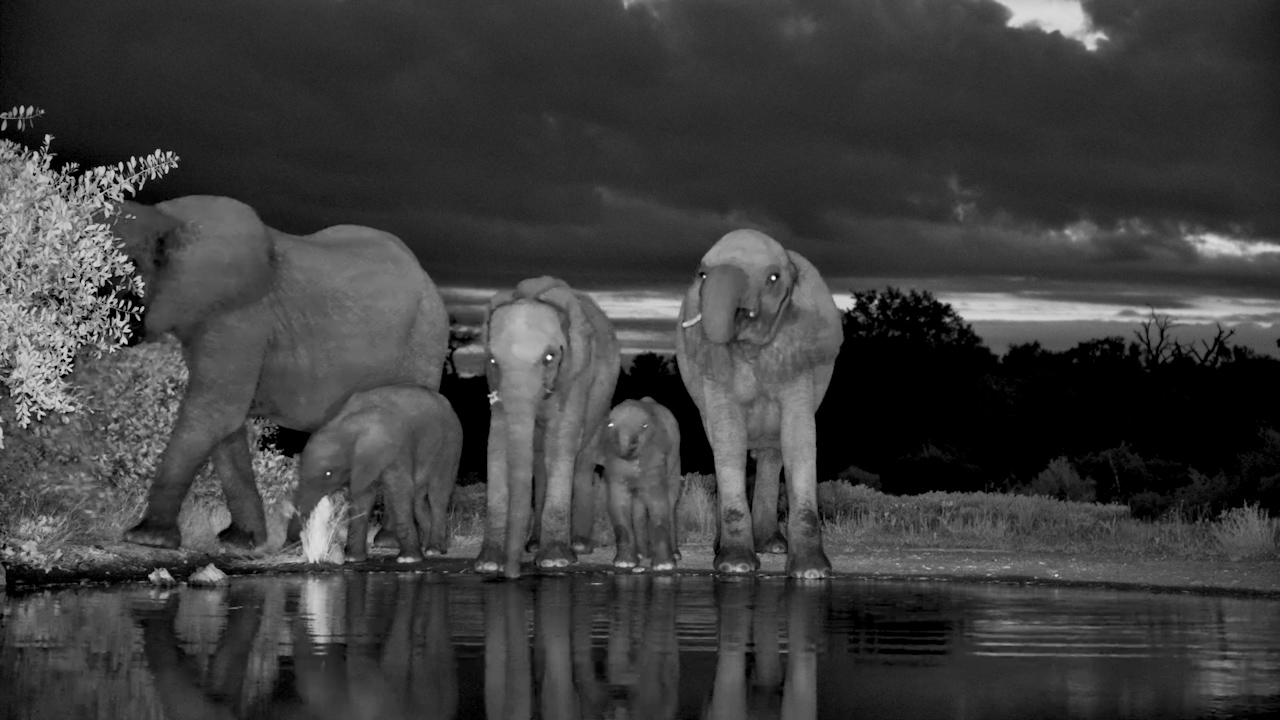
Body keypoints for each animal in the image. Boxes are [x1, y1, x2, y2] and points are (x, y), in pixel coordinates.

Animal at [104, 195, 449, 550]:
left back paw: (388, 543)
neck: (163, 218)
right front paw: (241, 543)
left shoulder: (242, 315)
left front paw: (146, 538)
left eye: (124, 267)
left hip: (426, 337)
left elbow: (213, 413)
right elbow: (225, 424)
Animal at [289, 384, 462, 563]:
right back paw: (429, 547)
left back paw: (434, 550)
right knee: (419, 500)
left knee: (437, 495)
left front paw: (408, 559)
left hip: (451, 445)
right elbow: (363, 497)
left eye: (328, 474)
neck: (347, 424)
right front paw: (353, 559)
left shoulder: (396, 449)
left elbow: (399, 490)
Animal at [475, 276, 620, 578]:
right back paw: (533, 545)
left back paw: (579, 547)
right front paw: (487, 564)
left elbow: (562, 440)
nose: (512, 574)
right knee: (541, 464)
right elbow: (496, 446)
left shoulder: (577, 373)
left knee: (582, 460)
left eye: (550, 358)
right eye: (492, 360)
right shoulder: (494, 382)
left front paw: (556, 562)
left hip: (602, 401)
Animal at [601, 397, 683, 571]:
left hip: (676, 459)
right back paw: (642, 555)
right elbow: (618, 501)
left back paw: (675, 555)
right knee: (638, 506)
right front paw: (624, 563)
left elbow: (657, 500)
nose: (629, 448)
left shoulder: (656, 454)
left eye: (644, 426)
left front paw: (664, 566)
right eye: (610, 425)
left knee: (671, 501)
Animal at [675, 229, 844, 578]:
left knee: (772, 454)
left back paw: (773, 547)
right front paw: (735, 567)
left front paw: (812, 573)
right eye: (702, 275)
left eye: (773, 278)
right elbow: (729, 438)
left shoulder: (798, 354)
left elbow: (799, 436)